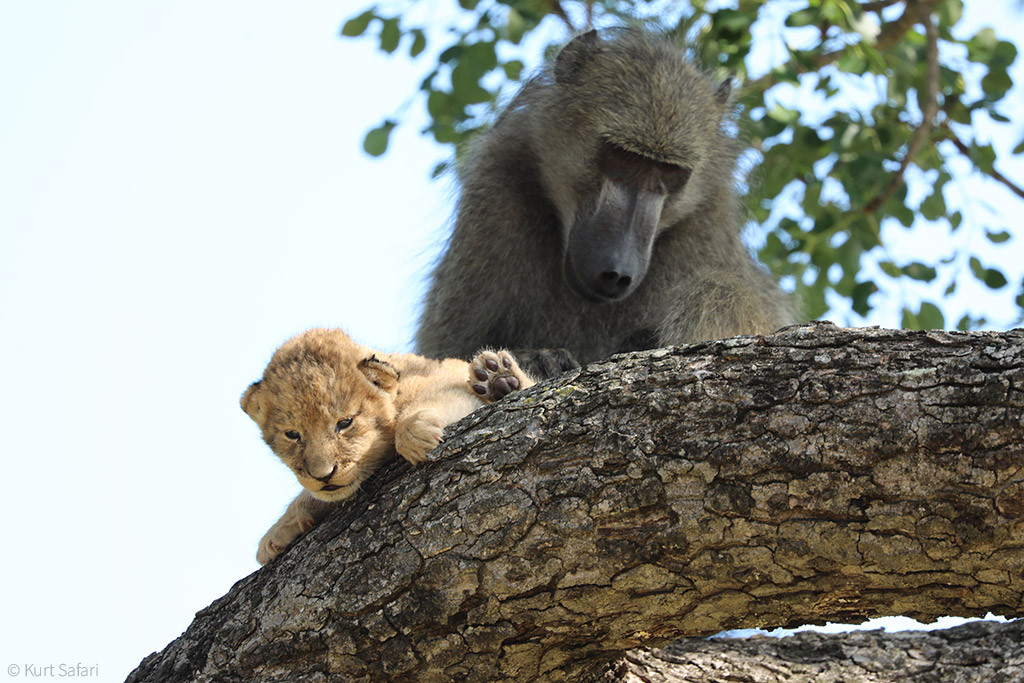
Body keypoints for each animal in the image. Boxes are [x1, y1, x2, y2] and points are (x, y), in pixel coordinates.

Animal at [415, 29, 797, 377]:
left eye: (669, 171)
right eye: (623, 156)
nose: (617, 273)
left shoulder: (707, 224)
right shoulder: (494, 187)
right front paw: (536, 359)